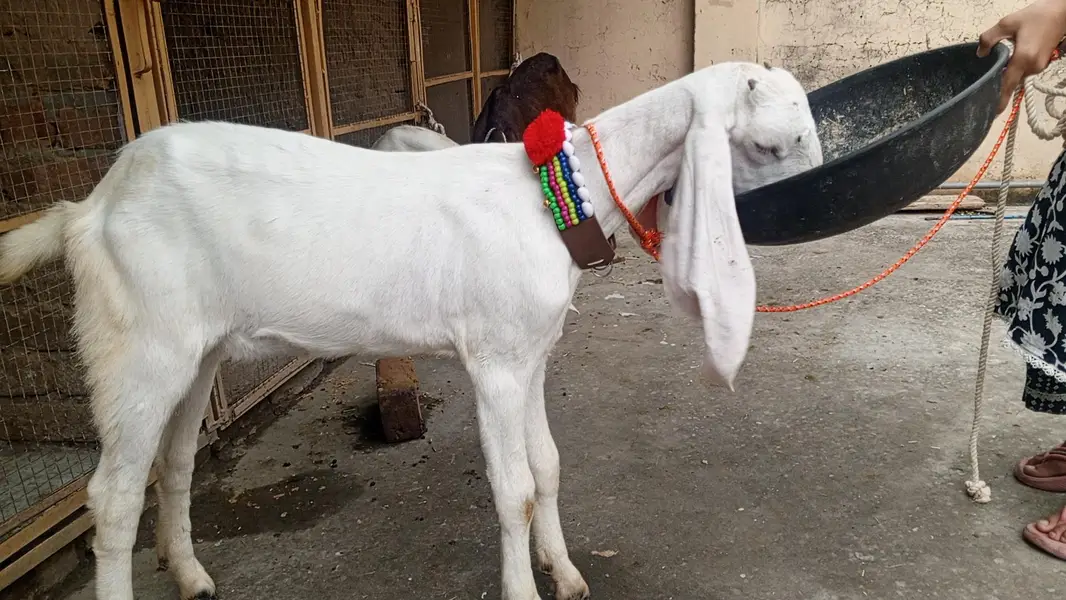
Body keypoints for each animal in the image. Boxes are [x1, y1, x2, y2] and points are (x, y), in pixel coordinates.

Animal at [0, 61, 822, 600]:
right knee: (112, 496)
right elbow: (516, 489)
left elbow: (550, 466)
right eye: (776, 142)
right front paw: (524, 587)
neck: (554, 195)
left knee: (172, 463)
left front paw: (566, 573)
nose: (815, 189)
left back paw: (194, 574)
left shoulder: (530, 352)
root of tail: (89, 208)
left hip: (194, 350)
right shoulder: (494, 361)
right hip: (137, 341)